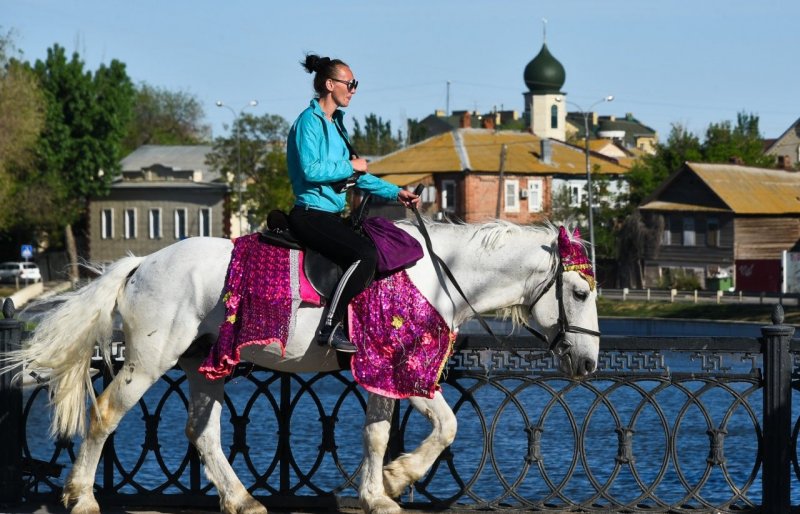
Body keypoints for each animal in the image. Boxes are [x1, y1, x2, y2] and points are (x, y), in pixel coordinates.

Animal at [4, 217, 592, 512]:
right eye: (582, 292)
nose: (588, 363)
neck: (438, 276)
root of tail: (141, 263)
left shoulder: (381, 376)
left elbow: (378, 434)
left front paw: (377, 493)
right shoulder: (401, 369)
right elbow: (446, 426)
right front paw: (398, 478)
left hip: (202, 365)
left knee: (202, 432)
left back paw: (241, 499)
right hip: (150, 359)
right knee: (105, 414)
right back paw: (81, 497)